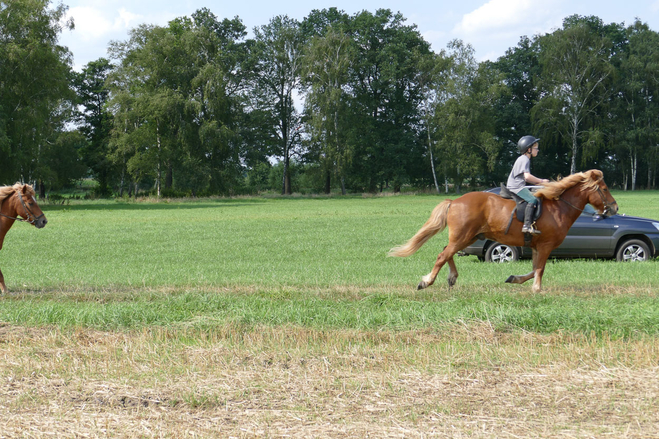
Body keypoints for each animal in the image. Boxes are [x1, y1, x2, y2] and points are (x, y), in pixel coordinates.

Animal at [386, 170, 620, 294]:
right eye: (605, 189)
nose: (615, 208)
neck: (559, 207)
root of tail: (455, 201)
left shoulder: (537, 247)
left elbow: (533, 269)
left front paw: (515, 279)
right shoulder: (545, 246)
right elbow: (540, 269)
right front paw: (537, 289)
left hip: (468, 237)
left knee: (447, 252)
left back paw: (452, 278)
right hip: (463, 236)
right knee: (443, 254)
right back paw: (426, 281)